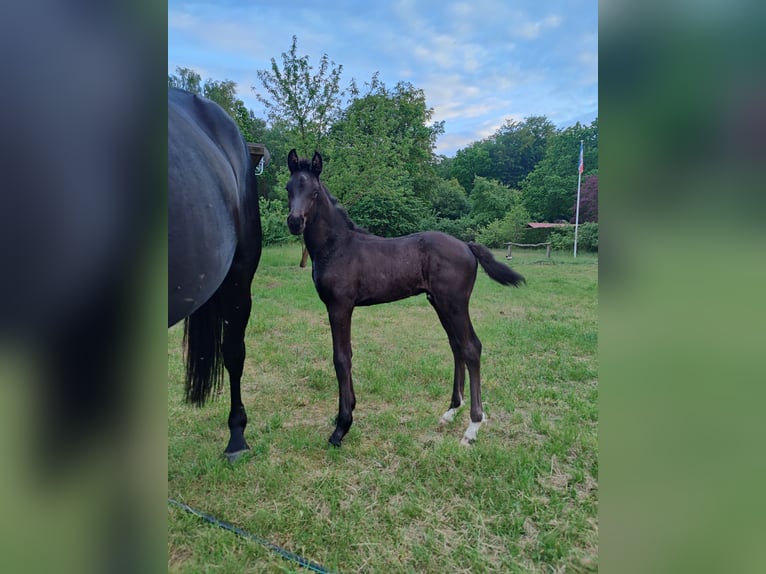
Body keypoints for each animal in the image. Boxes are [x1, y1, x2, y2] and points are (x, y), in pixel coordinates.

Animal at [284, 151, 524, 448]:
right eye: (289, 188)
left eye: (314, 192)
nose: (295, 222)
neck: (336, 246)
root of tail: (467, 246)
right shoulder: (342, 308)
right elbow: (348, 354)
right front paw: (349, 409)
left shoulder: (339, 307)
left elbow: (341, 359)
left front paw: (341, 427)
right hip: (439, 303)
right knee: (457, 346)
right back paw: (451, 411)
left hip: (454, 303)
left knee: (471, 348)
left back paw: (472, 428)